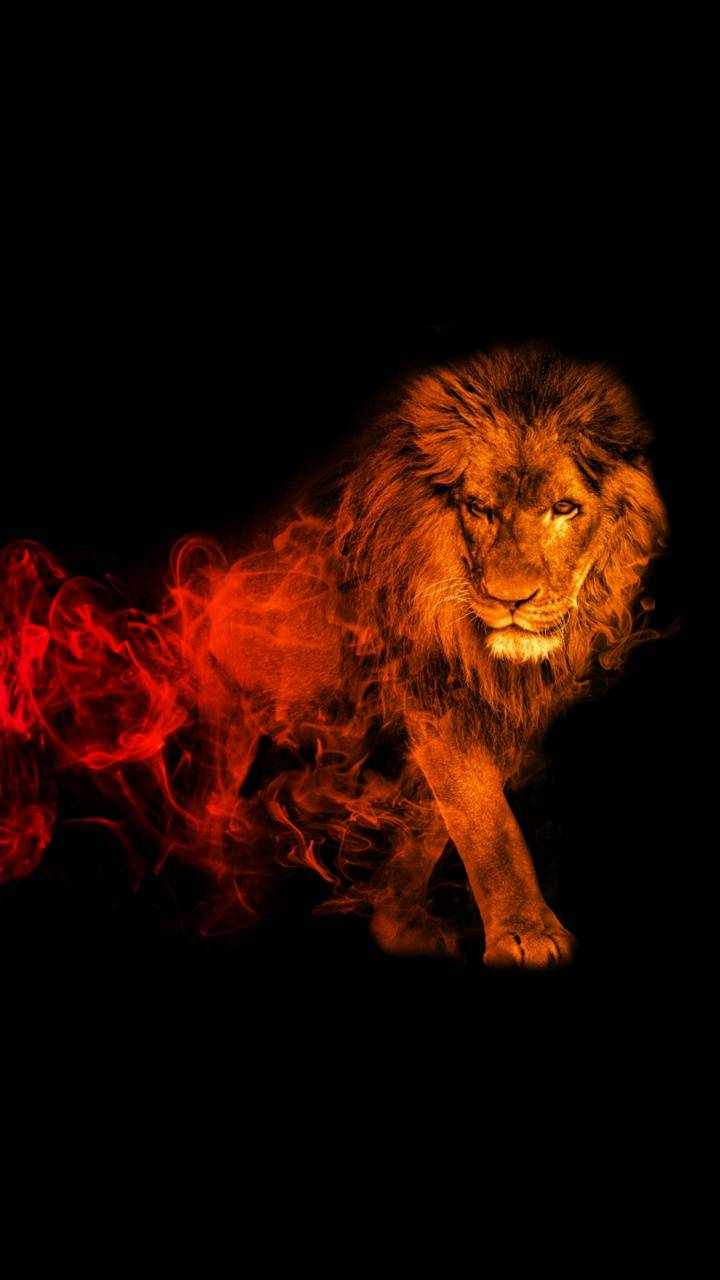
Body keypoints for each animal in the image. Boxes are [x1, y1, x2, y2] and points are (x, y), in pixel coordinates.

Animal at [206, 338, 671, 968]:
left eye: (564, 508)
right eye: (478, 507)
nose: (510, 600)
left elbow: (435, 814)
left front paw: (397, 922)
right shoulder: (433, 682)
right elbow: (484, 816)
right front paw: (526, 934)